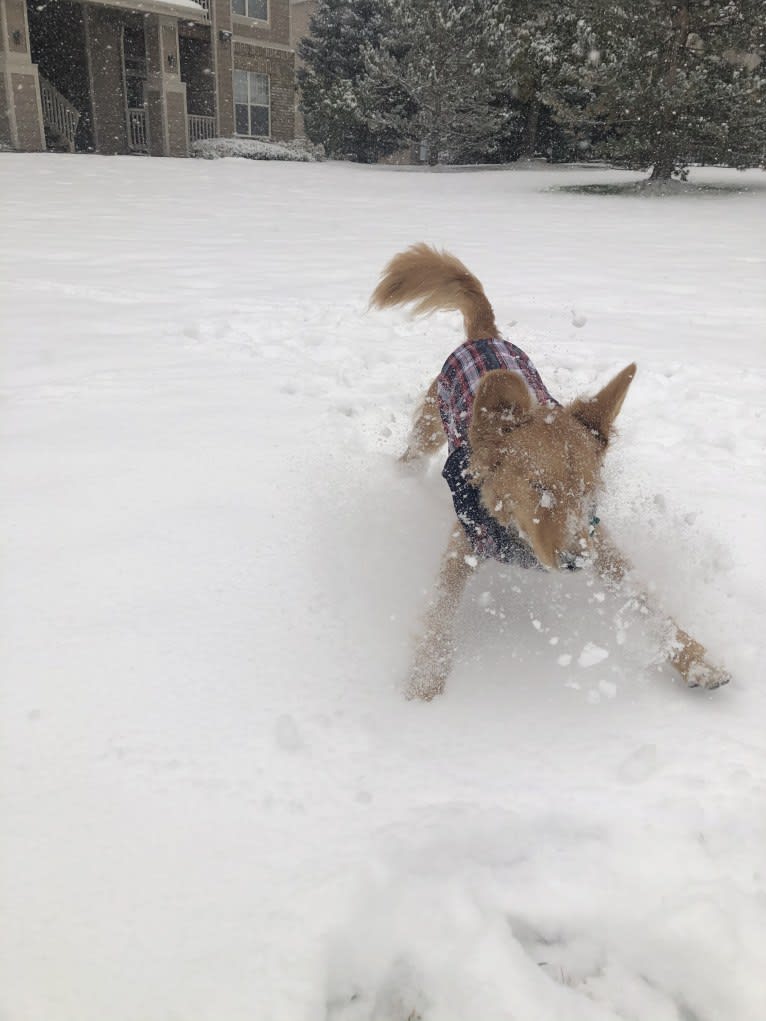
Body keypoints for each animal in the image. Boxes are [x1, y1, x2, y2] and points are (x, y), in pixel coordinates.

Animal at [371, 242, 731, 698]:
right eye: (538, 487)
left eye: (589, 491)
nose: (576, 562)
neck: (519, 536)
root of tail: (486, 335)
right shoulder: (464, 543)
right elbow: (440, 609)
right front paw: (425, 677)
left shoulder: (598, 539)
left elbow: (647, 601)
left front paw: (694, 658)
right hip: (430, 427)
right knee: (409, 457)